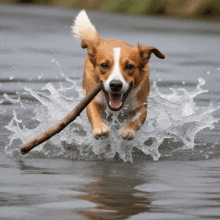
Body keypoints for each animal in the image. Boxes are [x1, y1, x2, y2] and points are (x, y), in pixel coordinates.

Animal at [72, 10, 165, 140]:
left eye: (129, 66)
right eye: (104, 65)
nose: (115, 85)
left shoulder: (141, 103)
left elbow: (139, 117)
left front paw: (128, 130)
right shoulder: (92, 98)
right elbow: (93, 111)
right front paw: (99, 128)